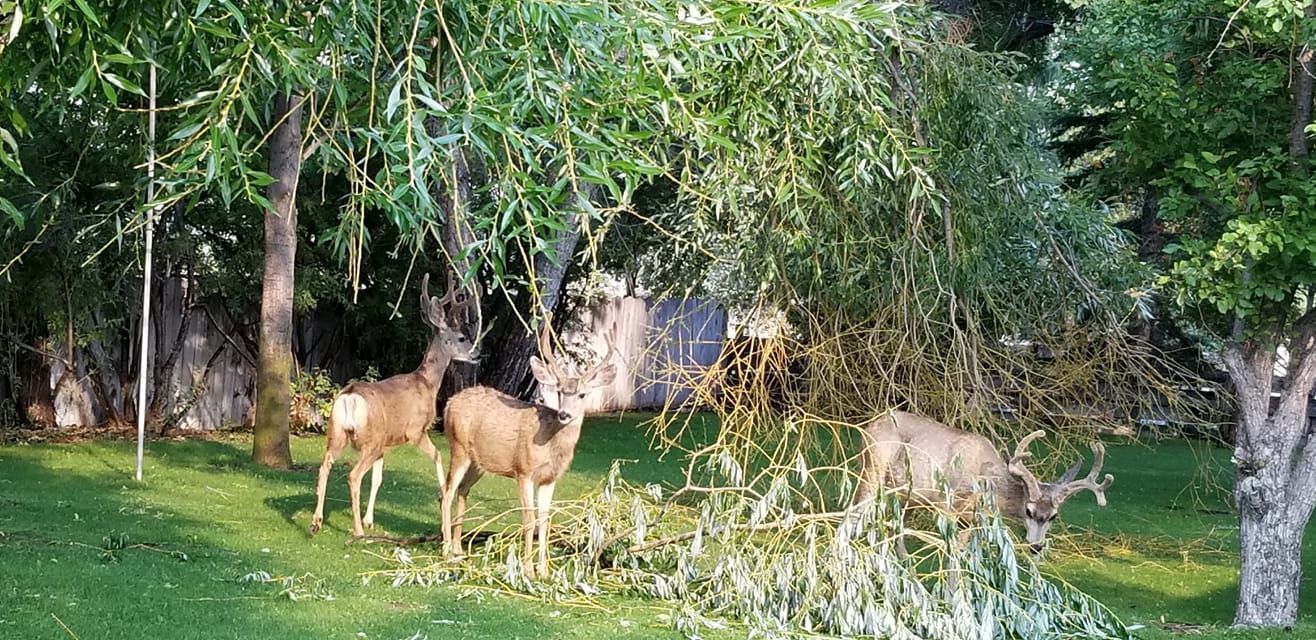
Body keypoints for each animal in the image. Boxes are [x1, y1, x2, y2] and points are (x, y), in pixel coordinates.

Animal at [309, 272, 480, 538]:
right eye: (462, 337)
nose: (476, 354)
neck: (427, 383)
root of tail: (350, 397)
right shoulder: (415, 430)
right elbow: (438, 456)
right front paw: (442, 494)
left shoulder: (386, 444)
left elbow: (378, 478)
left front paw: (370, 519)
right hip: (370, 439)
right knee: (353, 476)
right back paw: (358, 531)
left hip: (338, 433)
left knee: (325, 465)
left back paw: (317, 521)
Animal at [440, 313, 617, 576]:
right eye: (560, 391)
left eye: (582, 394)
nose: (564, 414)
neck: (550, 444)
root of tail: (449, 403)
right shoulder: (523, 470)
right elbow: (529, 518)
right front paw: (528, 569)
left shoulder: (550, 479)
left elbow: (544, 520)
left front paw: (544, 570)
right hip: (458, 447)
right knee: (446, 491)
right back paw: (446, 551)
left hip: (478, 463)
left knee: (462, 489)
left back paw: (459, 548)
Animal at [853, 410, 1113, 555]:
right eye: (1029, 510)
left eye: (1054, 516)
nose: (1036, 546)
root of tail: (867, 426)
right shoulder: (949, 505)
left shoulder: (972, 518)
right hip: (873, 467)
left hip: (906, 494)